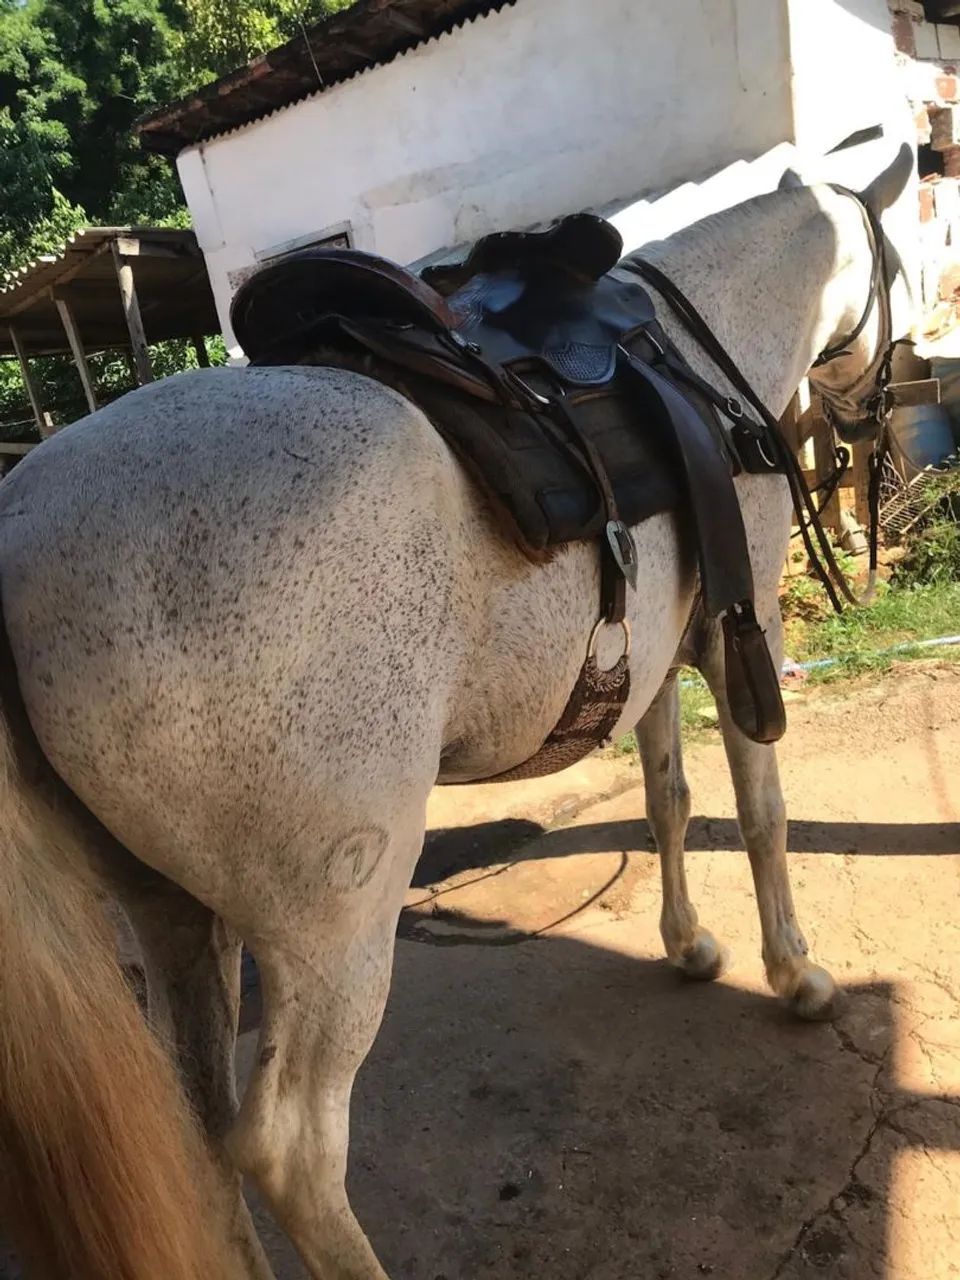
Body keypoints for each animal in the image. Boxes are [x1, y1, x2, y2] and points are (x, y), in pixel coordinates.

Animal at [0, 148, 912, 1279]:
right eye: (902, 258)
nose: (879, 419)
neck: (696, 350)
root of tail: (16, 538)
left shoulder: (655, 658)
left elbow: (667, 799)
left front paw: (690, 946)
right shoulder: (738, 630)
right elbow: (761, 813)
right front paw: (796, 974)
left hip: (170, 910)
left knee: (199, 1134)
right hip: (334, 923)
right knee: (292, 1151)